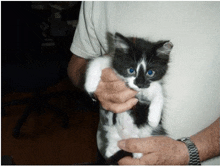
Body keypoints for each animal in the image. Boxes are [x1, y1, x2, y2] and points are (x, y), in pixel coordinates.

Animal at [84, 32, 174, 165]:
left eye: (150, 72)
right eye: (131, 70)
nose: (139, 84)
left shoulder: (150, 85)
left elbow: (158, 92)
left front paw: (154, 119)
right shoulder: (114, 62)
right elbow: (97, 61)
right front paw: (90, 86)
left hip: (145, 133)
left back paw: (137, 154)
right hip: (112, 128)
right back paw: (111, 150)